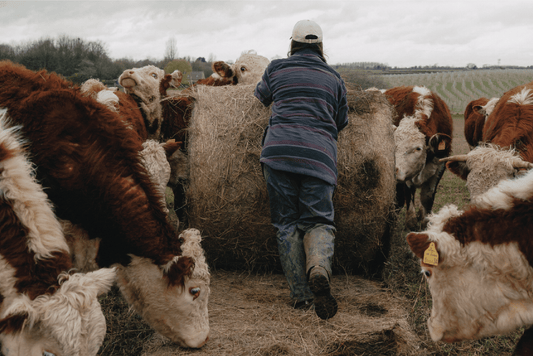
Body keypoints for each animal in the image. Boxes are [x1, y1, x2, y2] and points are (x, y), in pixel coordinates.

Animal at [382, 86, 454, 231]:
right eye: (393, 145)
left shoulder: (439, 167)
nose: (394, 171)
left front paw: (426, 221)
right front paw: (411, 222)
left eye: (418, 148)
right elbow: (408, 192)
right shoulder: (406, 175)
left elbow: (427, 198)